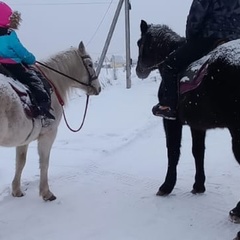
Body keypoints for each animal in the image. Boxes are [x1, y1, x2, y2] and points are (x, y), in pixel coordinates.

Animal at [0, 41, 101, 201]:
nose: (98, 88)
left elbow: (20, 162)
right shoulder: (48, 135)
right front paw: (46, 193)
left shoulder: (23, 139)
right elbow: (44, 162)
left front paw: (16, 190)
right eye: (90, 64)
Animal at [136, 20, 240, 223]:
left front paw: (166, 186)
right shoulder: (198, 125)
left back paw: (237, 211)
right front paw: (199, 185)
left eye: (139, 43)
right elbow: (198, 152)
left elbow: (173, 152)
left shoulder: (171, 121)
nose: (138, 71)